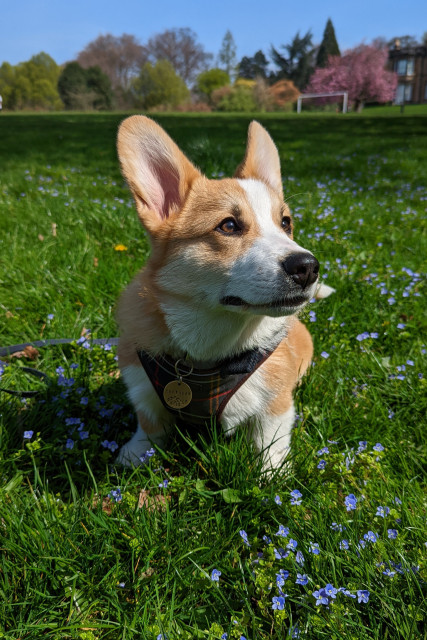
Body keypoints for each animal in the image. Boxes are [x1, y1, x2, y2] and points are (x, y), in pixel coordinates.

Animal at [116, 115, 334, 468]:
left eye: (285, 223)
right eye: (229, 226)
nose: (308, 267)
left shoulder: (275, 406)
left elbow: (270, 443)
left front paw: (272, 474)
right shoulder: (141, 386)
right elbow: (148, 424)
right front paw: (135, 454)